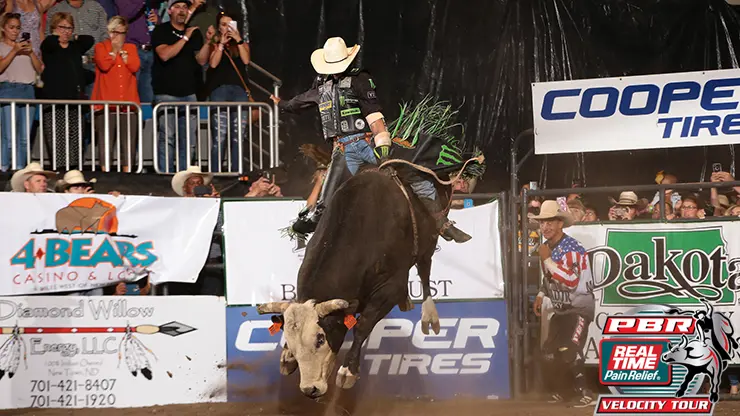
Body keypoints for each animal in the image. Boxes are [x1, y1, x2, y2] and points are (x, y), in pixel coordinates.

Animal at [258, 165, 448, 396]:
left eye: (320, 338)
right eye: (290, 341)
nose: (310, 389)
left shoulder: (389, 288)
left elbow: (363, 325)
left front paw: (348, 371)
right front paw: (287, 356)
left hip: (428, 243)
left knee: (424, 269)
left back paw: (429, 315)